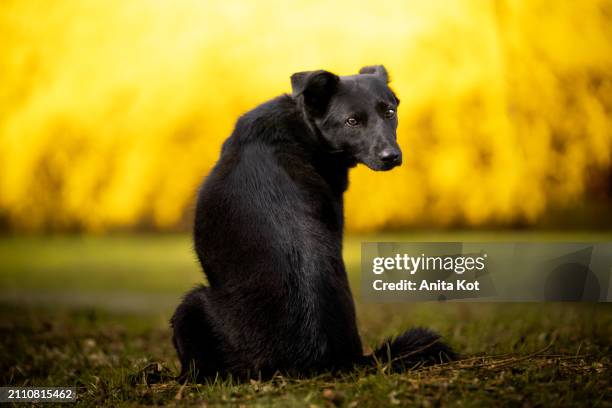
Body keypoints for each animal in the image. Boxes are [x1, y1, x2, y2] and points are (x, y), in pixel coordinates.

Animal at [171, 65, 454, 380]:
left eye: (389, 112)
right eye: (352, 121)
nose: (391, 157)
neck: (304, 127)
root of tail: (329, 360)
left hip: (191, 307)